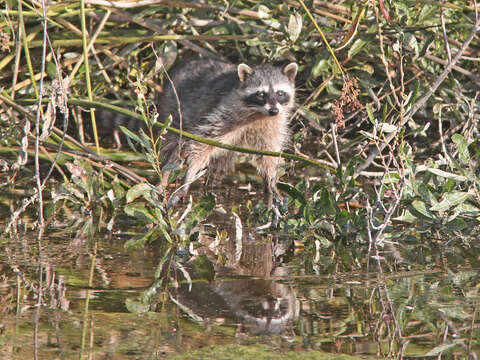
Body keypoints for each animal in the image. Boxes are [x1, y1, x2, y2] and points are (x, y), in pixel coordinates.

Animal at [158, 58, 296, 208]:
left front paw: (271, 183)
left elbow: (268, 154)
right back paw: (164, 178)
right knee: (174, 150)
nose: (274, 111)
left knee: (221, 163)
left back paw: (212, 184)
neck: (260, 114)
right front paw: (189, 176)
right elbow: (202, 144)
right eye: (261, 94)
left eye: (280, 93)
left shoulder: (272, 125)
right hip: (173, 114)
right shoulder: (226, 112)